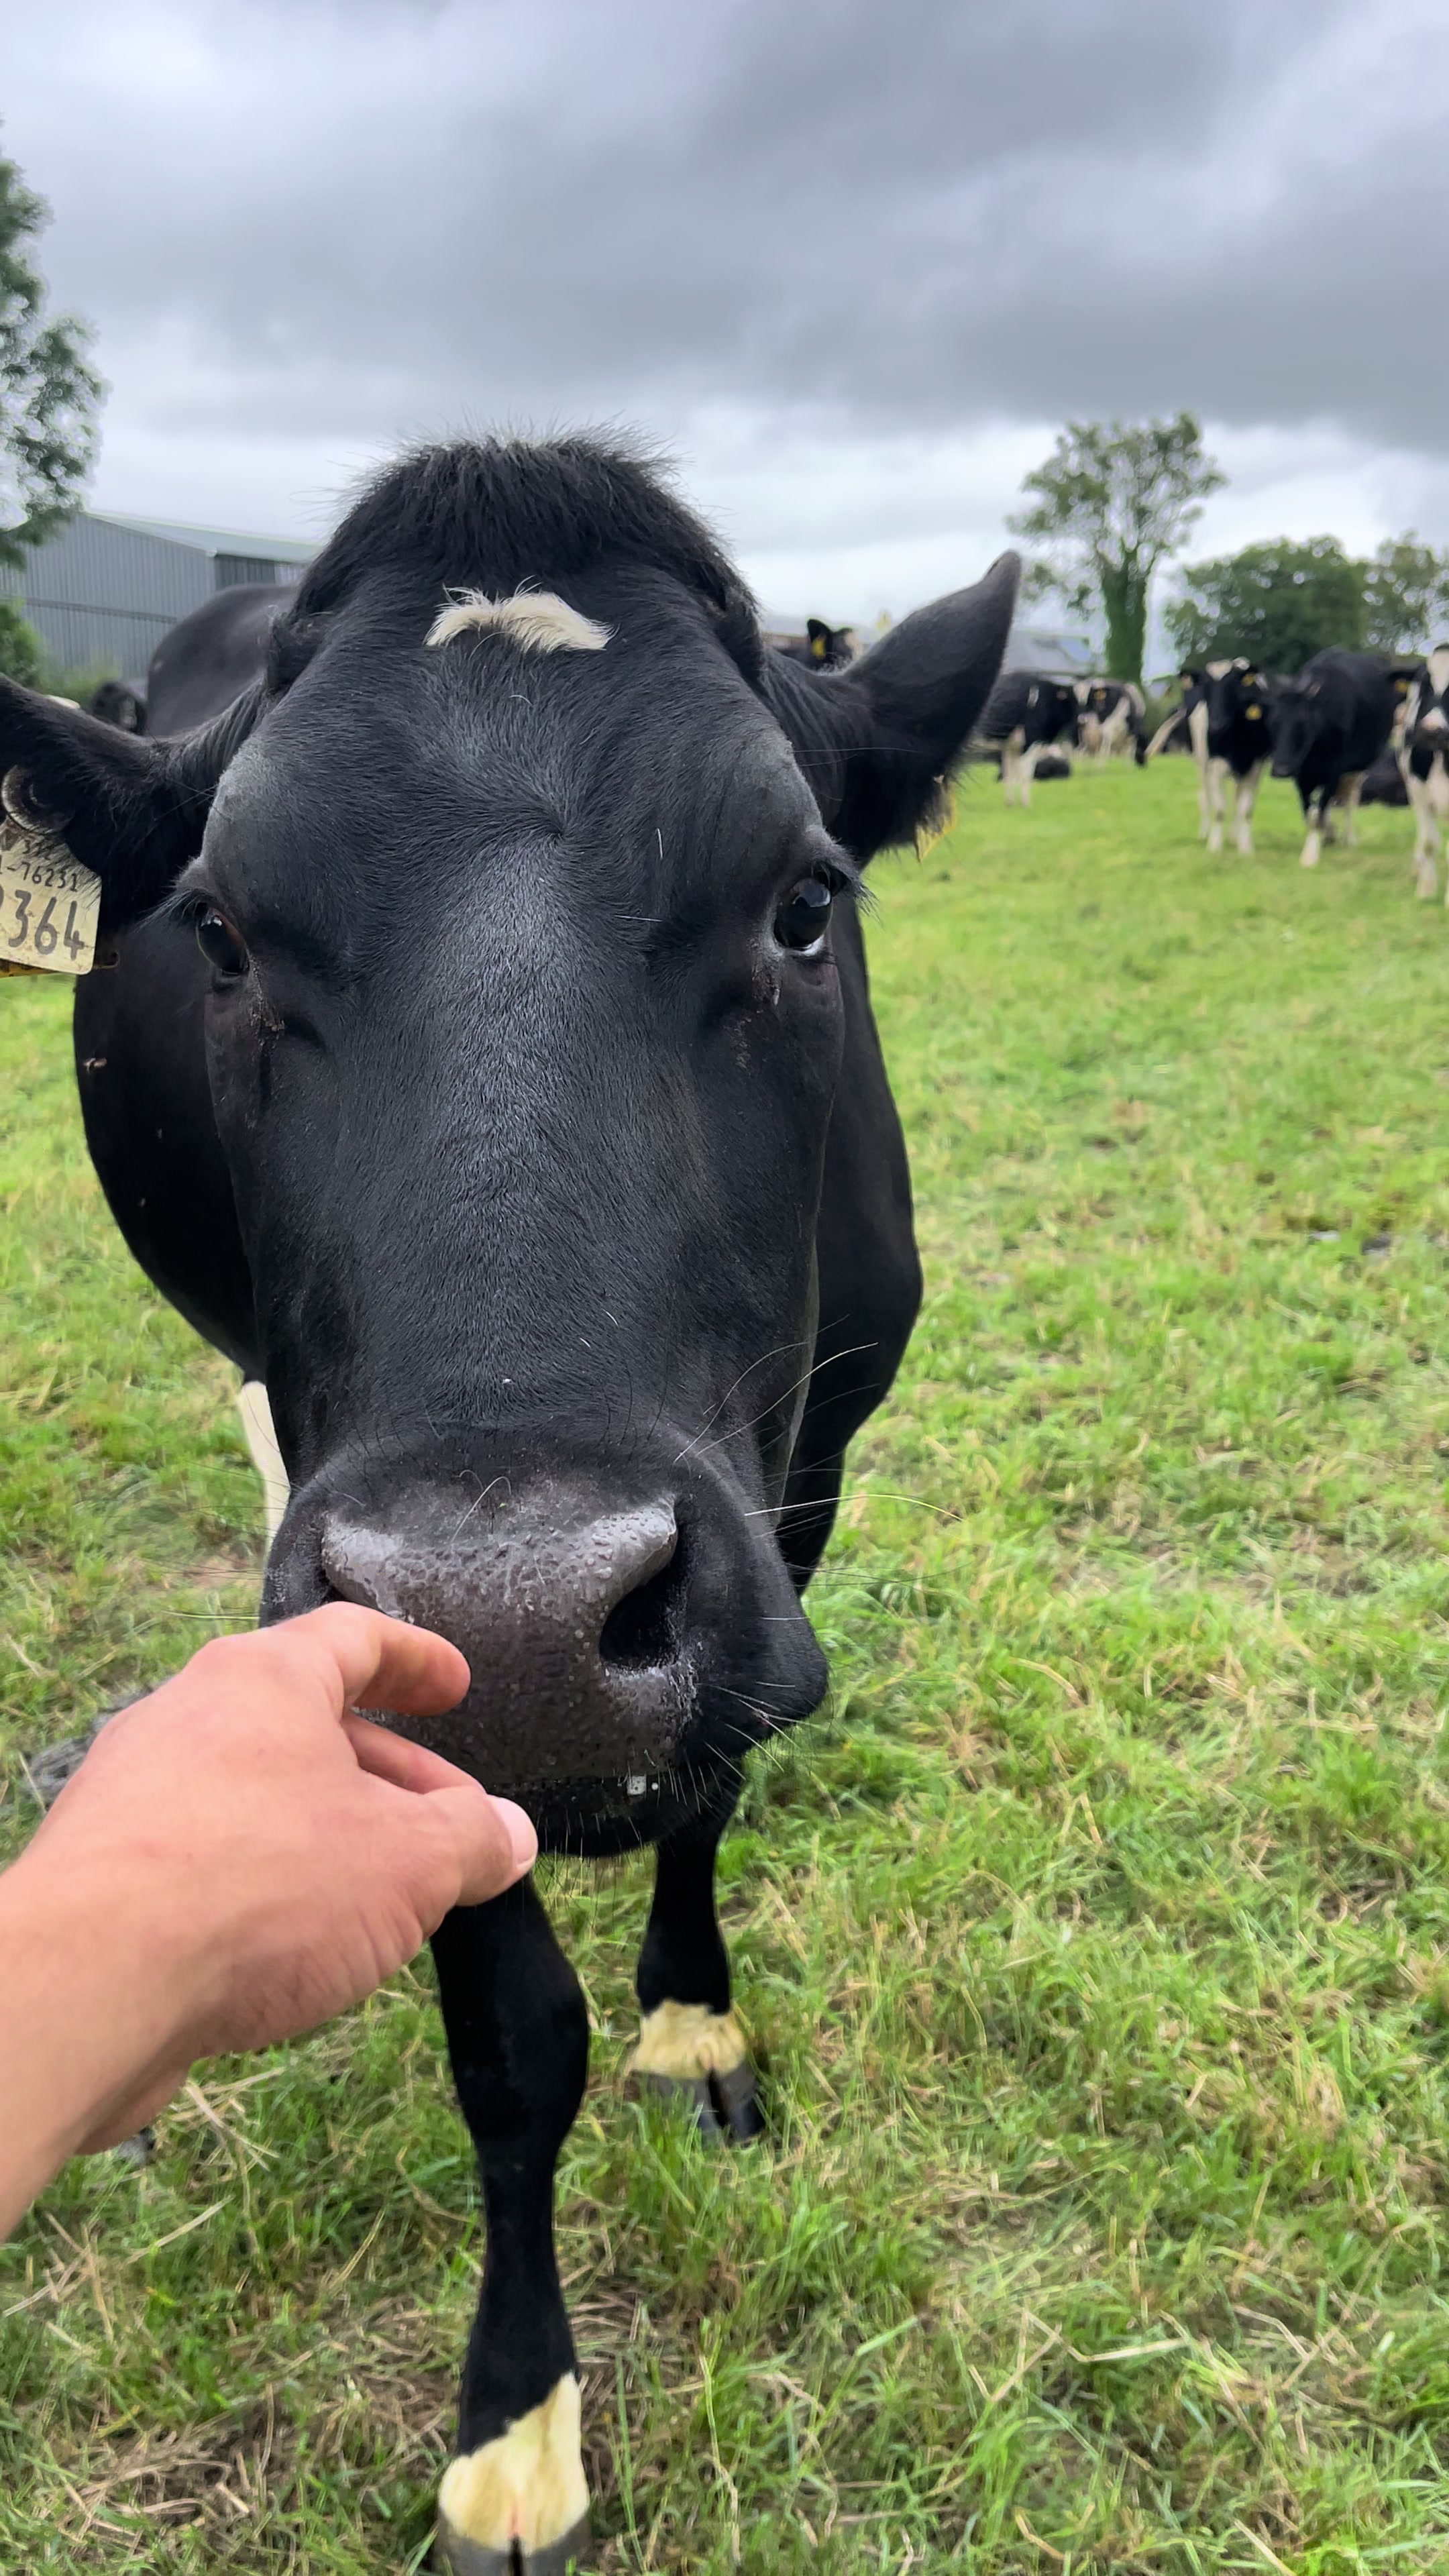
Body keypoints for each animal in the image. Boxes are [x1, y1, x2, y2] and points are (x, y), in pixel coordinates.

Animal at [1, 435, 1017, 2575]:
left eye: (805, 906)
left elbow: (711, 1786)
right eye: (222, 934)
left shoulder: (805, 1467)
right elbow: (506, 2028)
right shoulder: (367, 1614)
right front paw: (516, 2425)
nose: (524, 1608)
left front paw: (695, 2029)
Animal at [975, 668, 1078, 805]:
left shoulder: (1011, 746)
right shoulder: (1030, 742)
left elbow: (1010, 773)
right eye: (1073, 700)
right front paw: (1025, 803)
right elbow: (1024, 773)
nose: (1082, 720)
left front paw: (1010, 803)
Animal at [1270, 649, 1398, 870]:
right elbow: (1310, 812)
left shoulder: (1333, 771)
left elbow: (1318, 812)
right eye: (1274, 722)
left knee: (1349, 800)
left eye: (1302, 724)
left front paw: (1310, 856)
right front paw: (1324, 837)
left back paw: (1349, 838)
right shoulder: (1302, 775)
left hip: (1356, 769)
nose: (1281, 770)